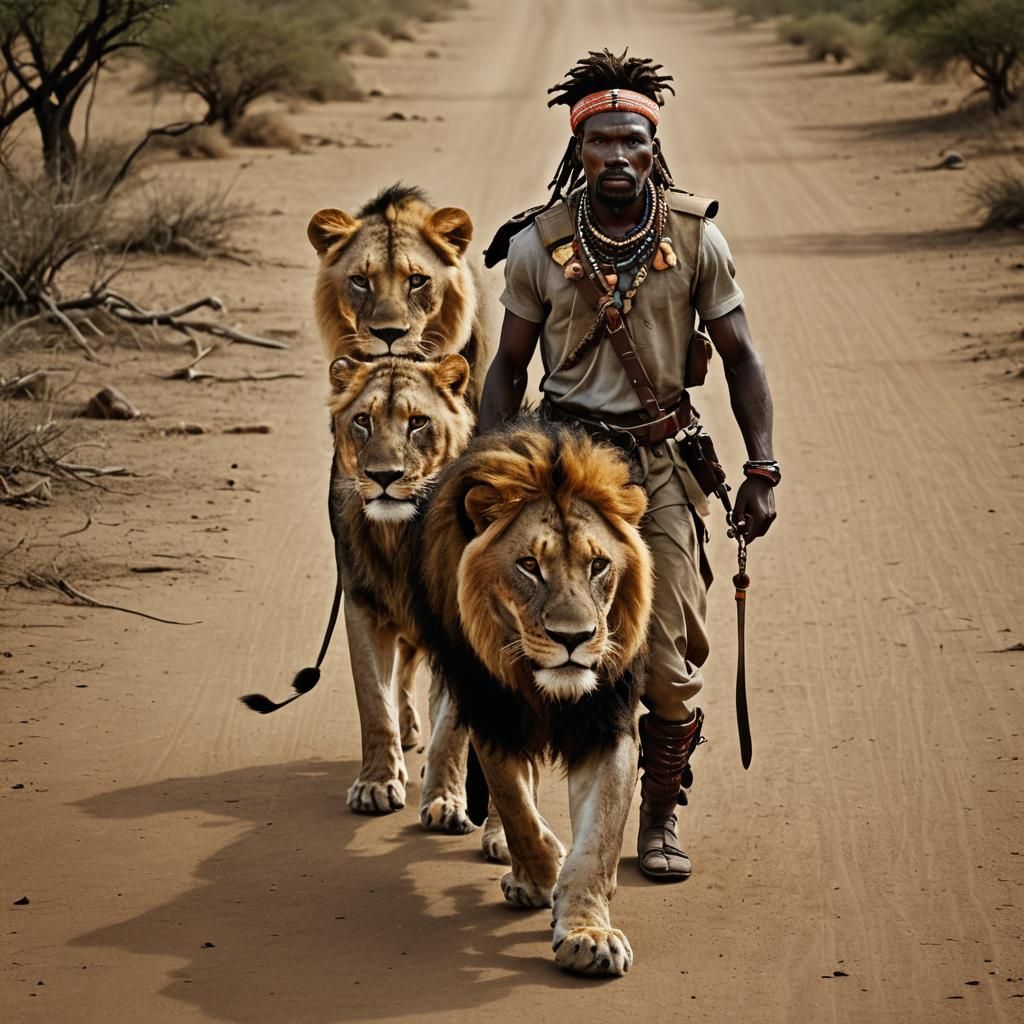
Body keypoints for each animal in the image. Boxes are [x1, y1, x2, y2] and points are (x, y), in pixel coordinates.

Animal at [408, 418, 654, 977]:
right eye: (528, 565)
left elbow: (599, 839)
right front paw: (540, 876)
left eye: (598, 565)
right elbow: (517, 807)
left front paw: (589, 932)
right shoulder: (492, 711)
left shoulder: (607, 721)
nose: (573, 638)